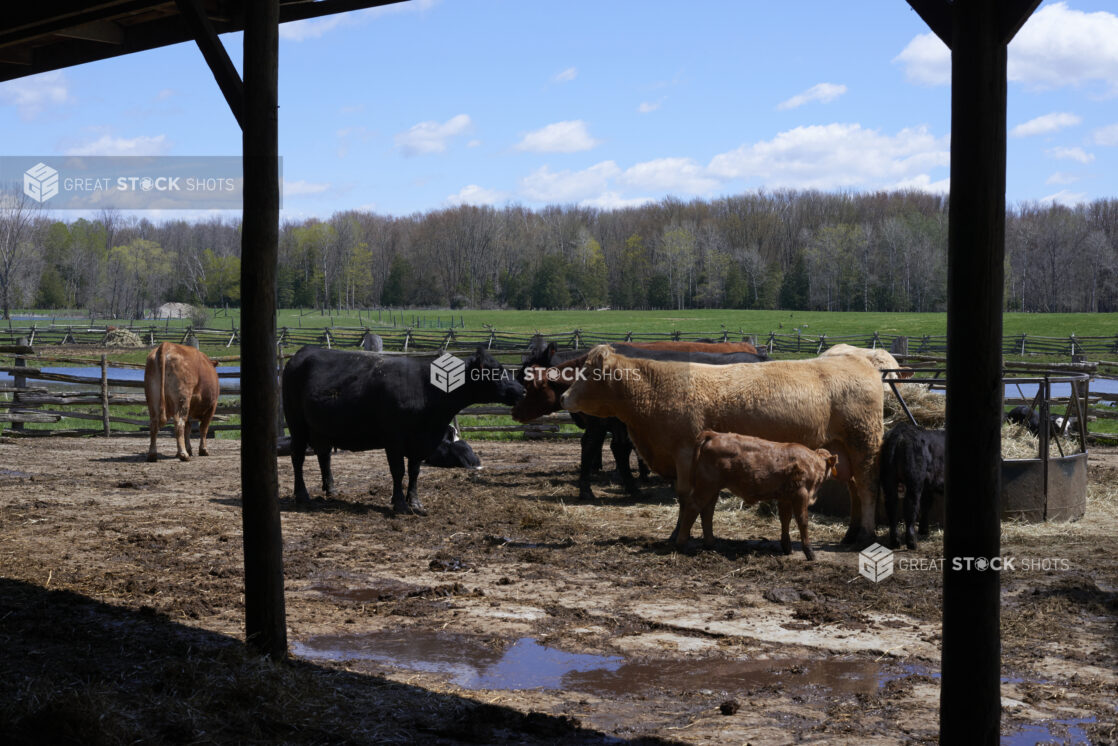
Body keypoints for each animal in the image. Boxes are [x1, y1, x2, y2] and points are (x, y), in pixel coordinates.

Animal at [281, 346, 520, 514]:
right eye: (495, 371)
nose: (522, 389)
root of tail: (302, 353)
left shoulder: (420, 441)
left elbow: (414, 471)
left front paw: (415, 502)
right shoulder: (394, 439)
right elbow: (398, 471)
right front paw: (399, 504)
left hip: (321, 428)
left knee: (324, 455)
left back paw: (331, 490)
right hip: (296, 423)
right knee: (297, 457)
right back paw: (302, 495)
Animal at [559, 346, 880, 545]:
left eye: (590, 372)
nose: (563, 397)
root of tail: (858, 359)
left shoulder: (685, 453)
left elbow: (686, 497)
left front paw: (679, 535)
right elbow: (704, 501)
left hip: (864, 444)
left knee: (867, 488)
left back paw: (866, 535)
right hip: (843, 450)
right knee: (853, 489)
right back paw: (850, 535)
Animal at [684, 431, 836, 559]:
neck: (813, 464)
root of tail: (714, 434)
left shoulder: (785, 498)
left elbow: (785, 519)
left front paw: (787, 547)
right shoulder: (801, 494)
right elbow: (802, 521)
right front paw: (809, 552)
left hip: (713, 489)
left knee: (707, 512)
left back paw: (710, 543)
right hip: (706, 487)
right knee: (692, 506)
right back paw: (682, 543)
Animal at [880, 422, 943, 552]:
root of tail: (900, 434)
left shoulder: (927, 486)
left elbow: (927, 504)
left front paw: (924, 530)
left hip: (888, 478)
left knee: (892, 505)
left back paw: (895, 542)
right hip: (914, 479)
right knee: (910, 506)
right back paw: (912, 543)